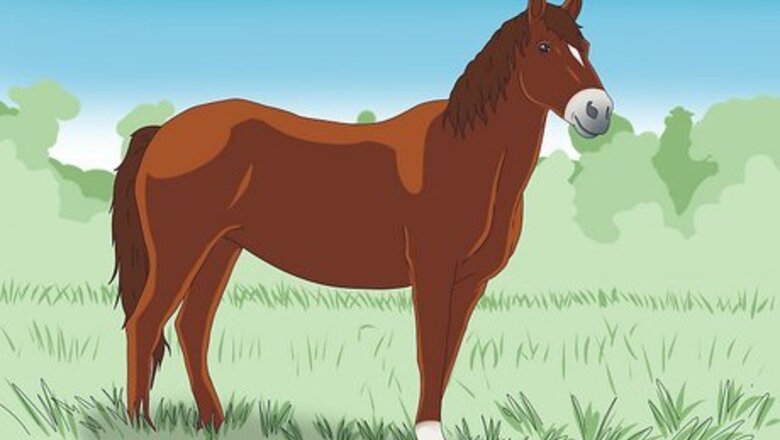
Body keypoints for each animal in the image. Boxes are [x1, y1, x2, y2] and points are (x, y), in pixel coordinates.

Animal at [111, 0, 612, 438]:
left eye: (586, 48)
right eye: (544, 47)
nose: (597, 111)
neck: (465, 157)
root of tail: (165, 132)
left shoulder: (470, 283)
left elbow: (448, 355)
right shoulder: (432, 272)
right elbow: (429, 350)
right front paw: (427, 429)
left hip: (221, 250)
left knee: (191, 327)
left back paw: (212, 421)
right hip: (181, 250)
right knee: (145, 323)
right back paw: (140, 423)